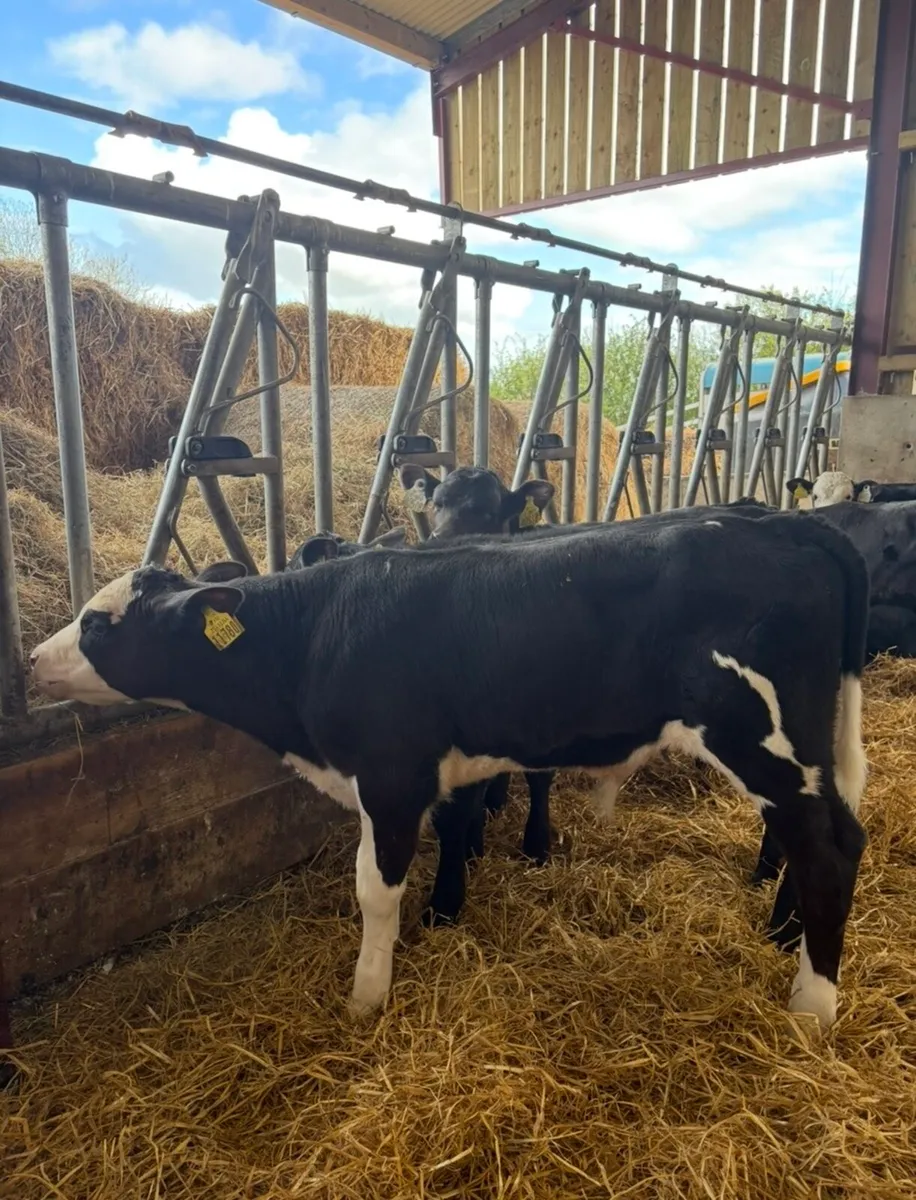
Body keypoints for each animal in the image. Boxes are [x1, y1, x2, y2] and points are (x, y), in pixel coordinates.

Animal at [30, 510, 869, 1032]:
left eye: (99, 624)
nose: (34, 660)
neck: (317, 633)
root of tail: (785, 523)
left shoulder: (391, 773)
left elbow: (375, 889)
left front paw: (367, 997)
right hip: (807, 750)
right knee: (836, 834)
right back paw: (785, 936)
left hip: (763, 737)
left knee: (826, 851)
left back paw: (813, 1008)